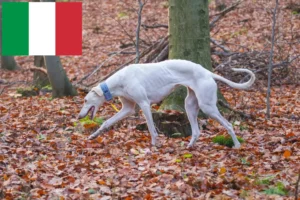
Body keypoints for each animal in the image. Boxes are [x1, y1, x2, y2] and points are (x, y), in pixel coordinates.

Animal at [78, 59, 255, 148]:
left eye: (86, 100)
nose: (79, 116)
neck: (120, 81)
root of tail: (207, 72)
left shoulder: (144, 104)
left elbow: (151, 128)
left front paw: (155, 144)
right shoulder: (127, 108)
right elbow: (106, 122)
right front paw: (94, 135)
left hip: (208, 107)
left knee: (229, 125)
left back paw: (237, 145)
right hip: (190, 106)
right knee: (197, 131)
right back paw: (189, 146)